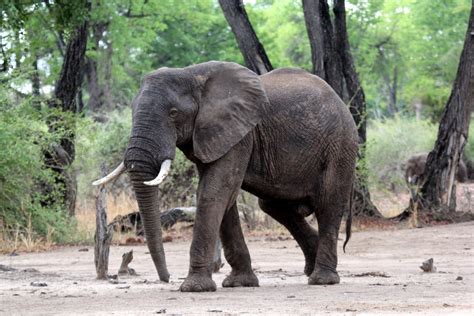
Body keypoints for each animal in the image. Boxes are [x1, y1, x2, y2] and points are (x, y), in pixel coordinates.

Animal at [94, 60, 358, 292]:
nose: (166, 278)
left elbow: (214, 193)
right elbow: (222, 196)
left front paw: (194, 288)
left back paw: (322, 279)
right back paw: (311, 267)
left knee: (328, 204)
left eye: (173, 113)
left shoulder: (241, 133)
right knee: (273, 206)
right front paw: (239, 283)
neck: (192, 74)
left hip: (340, 145)